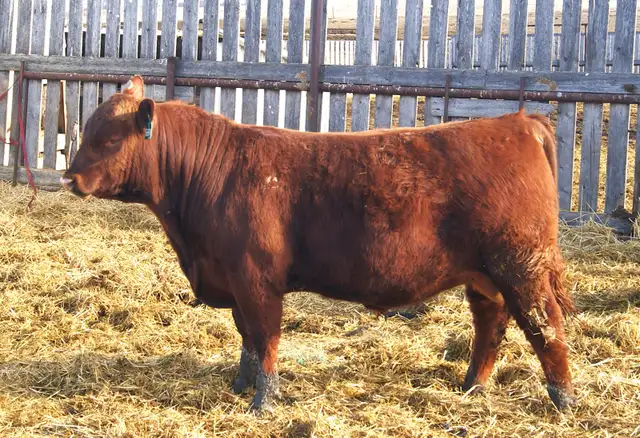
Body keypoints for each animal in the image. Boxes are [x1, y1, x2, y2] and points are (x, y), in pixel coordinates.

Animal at [61, 75, 576, 414]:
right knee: (491, 324)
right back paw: (472, 387)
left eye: (107, 140)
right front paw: (239, 385)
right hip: (485, 276)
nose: (69, 178)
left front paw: (262, 403)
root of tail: (519, 123)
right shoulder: (232, 280)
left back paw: (563, 400)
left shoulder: (257, 281)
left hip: (522, 268)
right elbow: (246, 340)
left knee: (545, 328)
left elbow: (265, 339)